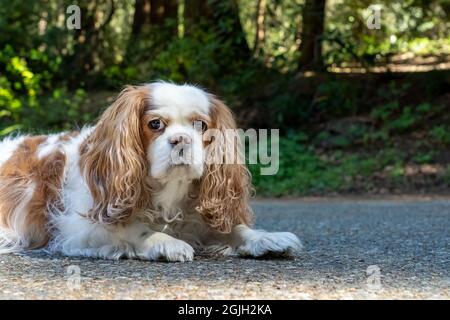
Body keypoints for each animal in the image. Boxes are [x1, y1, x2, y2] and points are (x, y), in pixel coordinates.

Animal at [0, 82, 302, 260]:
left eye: (200, 126)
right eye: (155, 124)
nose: (181, 140)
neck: (166, 191)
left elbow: (235, 229)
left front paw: (265, 237)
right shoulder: (78, 226)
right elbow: (134, 229)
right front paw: (166, 241)